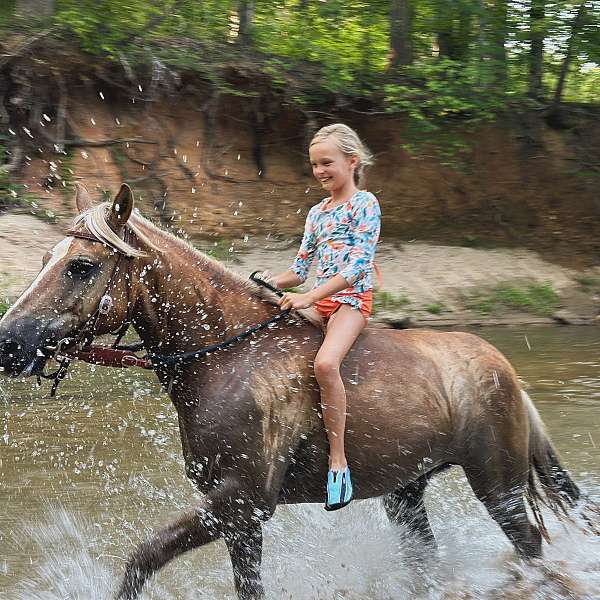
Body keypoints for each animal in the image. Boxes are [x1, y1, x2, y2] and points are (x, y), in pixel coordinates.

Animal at [0, 184, 580, 600]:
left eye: (82, 265)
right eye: (46, 257)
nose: (9, 341)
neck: (223, 357)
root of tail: (505, 369)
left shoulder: (242, 500)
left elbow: (142, 557)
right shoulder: (240, 518)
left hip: (498, 485)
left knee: (534, 554)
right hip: (406, 492)